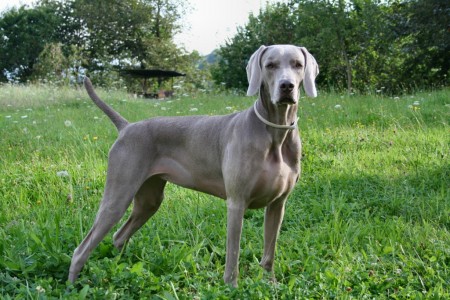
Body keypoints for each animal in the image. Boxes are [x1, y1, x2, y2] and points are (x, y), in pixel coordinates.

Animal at [68, 44, 318, 286]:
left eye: (297, 64)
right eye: (270, 65)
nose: (287, 86)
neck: (276, 132)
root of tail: (126, 127)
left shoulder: (278, 204)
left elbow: (269, 252)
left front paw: (271, 283)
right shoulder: (237, 202)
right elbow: (233, 253)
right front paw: (231, 287)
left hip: (149, 198)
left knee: (119, 235)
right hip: (118, 194)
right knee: (81, 249)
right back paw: (72, 285)